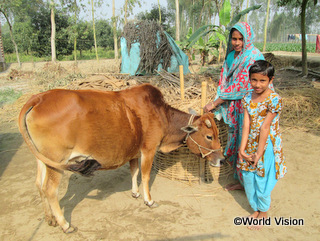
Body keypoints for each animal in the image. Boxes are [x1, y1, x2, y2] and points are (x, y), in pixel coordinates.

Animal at [18, 84, 224, 233]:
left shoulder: (134, 153)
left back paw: (50, 218)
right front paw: (149, 200)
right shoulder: (148, 150)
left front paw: (135, 192)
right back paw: (65, 224)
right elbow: (145, 175)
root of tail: (38, 98)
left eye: (216, 134)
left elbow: (134, 172)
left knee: (39, 185)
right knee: (50, 189)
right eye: (209, 136)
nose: (221, 159)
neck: (161, 114)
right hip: (57, 162)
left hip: (42, 159)